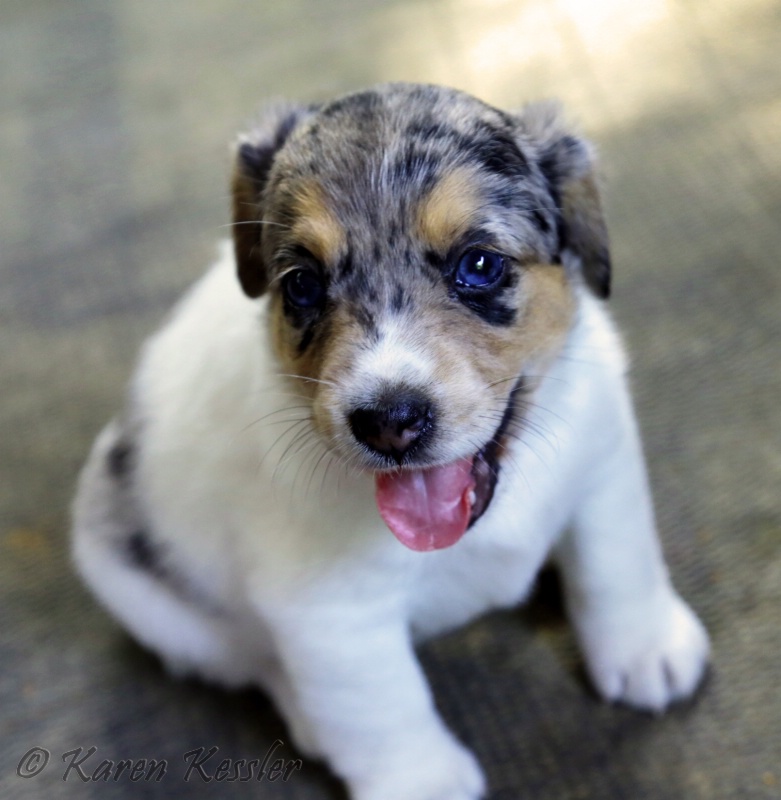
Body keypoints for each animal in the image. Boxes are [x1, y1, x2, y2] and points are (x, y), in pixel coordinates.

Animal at [73, 84, 708, 796]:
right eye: (301, 284)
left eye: (479, 264)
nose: (388, 421)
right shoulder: (329, 615)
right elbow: (385, 708)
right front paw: (424, 780)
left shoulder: (602, 469)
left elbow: (616, 565)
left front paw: (645, 646)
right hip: (152, 601)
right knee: (252, 660)